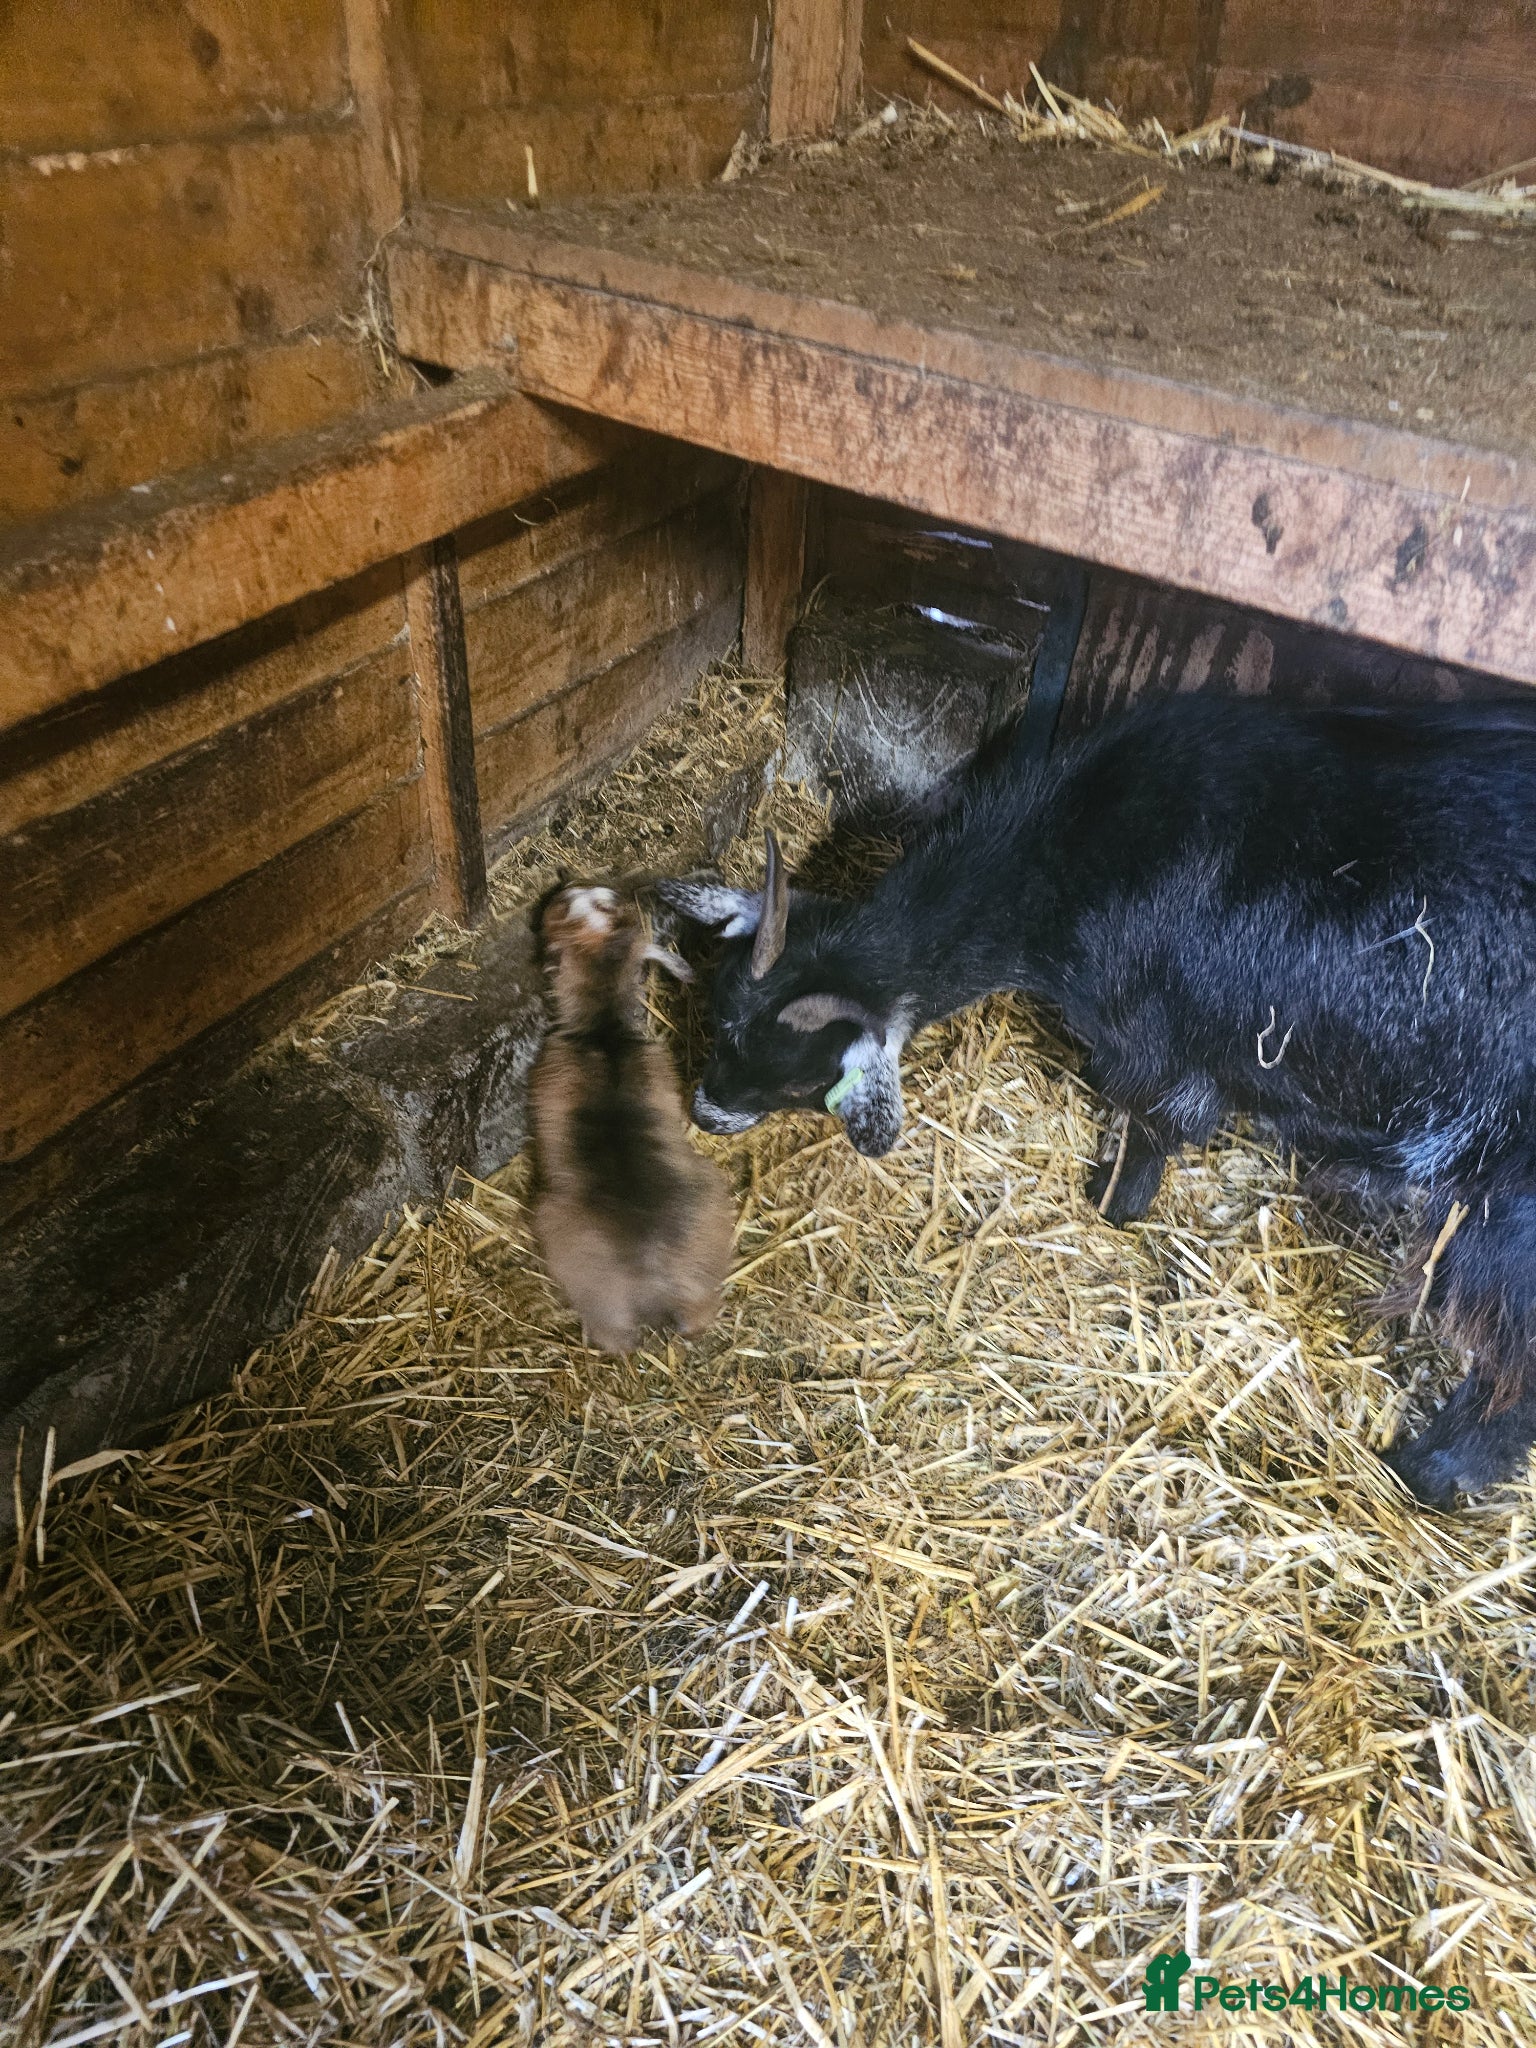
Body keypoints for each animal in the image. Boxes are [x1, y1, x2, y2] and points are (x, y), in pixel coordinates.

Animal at [661, 695, 1536, 1508]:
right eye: (718, 1011)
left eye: (799, 1080)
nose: (706, 1112)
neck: (1060, 863)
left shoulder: (1154, 1036)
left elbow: (1157, 1119)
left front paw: (1115, 1199)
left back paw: (1430, 1472)